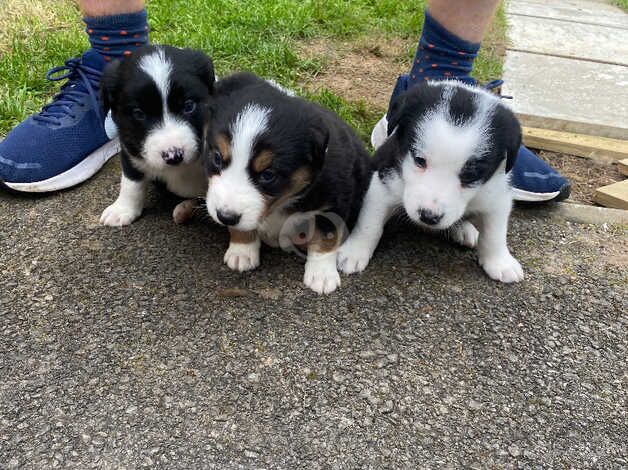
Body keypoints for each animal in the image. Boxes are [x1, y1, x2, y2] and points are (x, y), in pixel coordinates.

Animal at [99, 45, 215, 226]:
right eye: (139, 113)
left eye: (188, 106)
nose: (174, 156)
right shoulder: (129, 147)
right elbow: (131, 180)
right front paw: (122, 209)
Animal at [201, 72, 370, 294]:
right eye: (217, 158)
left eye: (268, 175)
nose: (225, 217)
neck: (282, 200)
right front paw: (242, 250)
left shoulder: (335, 200)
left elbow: (326, 237)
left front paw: (322, 276)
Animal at [338, 81, 524, 282]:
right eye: (419, 160)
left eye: (471, 173)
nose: (428, 216)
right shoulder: (383, 180)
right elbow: (369, 224)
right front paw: (354, 251)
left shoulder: (498, 194)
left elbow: (495, 233)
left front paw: (500, 262)